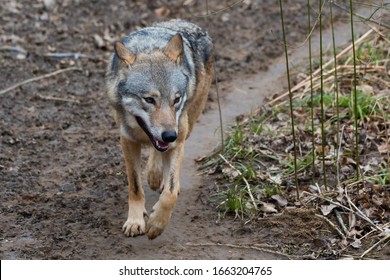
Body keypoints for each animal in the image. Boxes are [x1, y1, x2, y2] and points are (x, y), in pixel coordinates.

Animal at [106, 19, 213, 238]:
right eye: (149, 99)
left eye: (176, 99)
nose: (170, 135)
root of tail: (189, 23)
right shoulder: (127, 140)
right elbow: (135, 186)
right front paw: (135, 221)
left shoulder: (177, 140)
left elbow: (170, 193)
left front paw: (156, 224)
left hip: (187, 127)